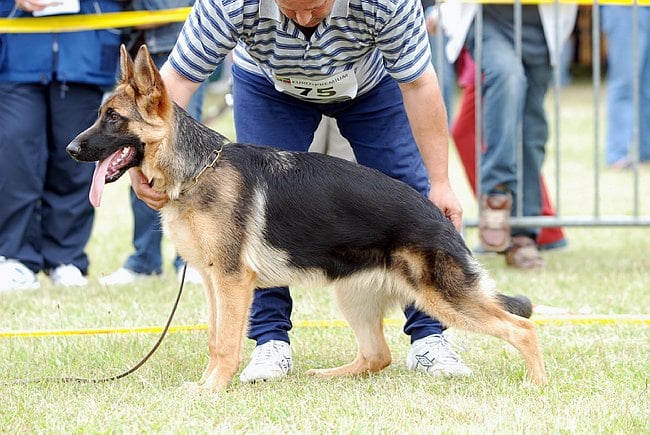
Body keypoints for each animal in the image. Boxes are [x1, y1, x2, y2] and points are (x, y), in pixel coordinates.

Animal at [66, 46, 544, 394]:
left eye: (113, 118)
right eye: (100, 114)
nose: (71, 149)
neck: (198, 168)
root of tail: (442, 219)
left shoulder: (232, 282)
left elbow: (225, 343)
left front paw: (212, 390)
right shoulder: (213, 283)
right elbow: (214, 339)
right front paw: (205, 385)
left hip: (442, 297)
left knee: (523, 327)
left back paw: (535, 384)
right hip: (353, 297)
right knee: (378, 355)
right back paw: (328, 376)